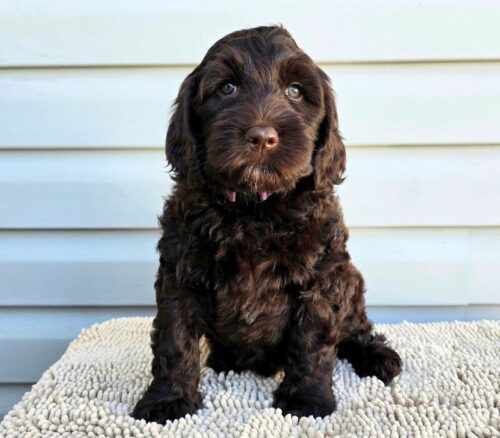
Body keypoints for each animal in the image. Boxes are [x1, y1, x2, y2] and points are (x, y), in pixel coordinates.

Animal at [132, 25, 402, 422]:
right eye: (227, 88)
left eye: (295, 91)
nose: (262, 137)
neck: (254, 208)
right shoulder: (180, 273)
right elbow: (174, 339)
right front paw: (167, 399)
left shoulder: (322, 274)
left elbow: (313, 338)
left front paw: (306, 399)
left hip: (350, 281)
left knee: (355, 329)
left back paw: (379, 357)